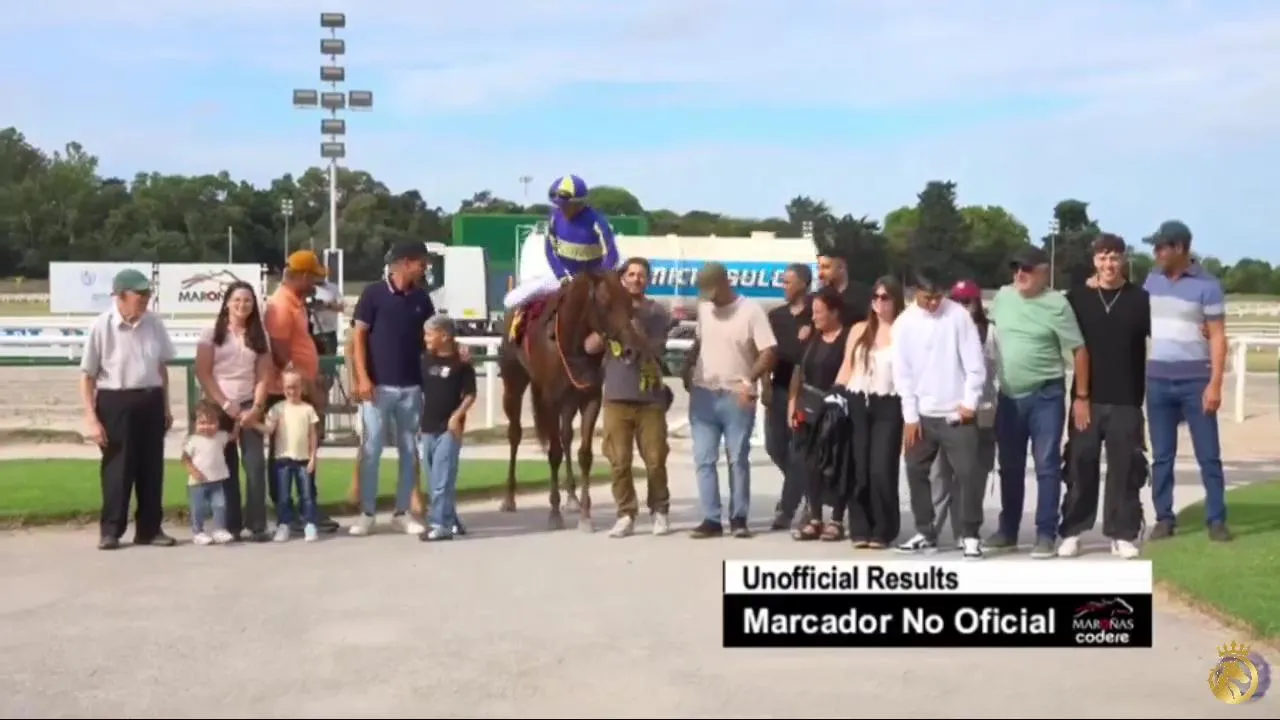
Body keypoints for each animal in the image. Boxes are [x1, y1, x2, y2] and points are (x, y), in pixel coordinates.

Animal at [498, 269, 651, 531]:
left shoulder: (590, 398)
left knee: (566, 435)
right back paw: (509, 498)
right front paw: (554, 514)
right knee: (515, 434)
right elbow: (554, 453)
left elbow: (584, 454)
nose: (632, 350)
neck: (572, 342)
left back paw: (572, 497)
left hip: (569, 400)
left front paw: (585, 516)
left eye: (629, 304)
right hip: (514, 384)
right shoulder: (550, 400)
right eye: (606, 304)